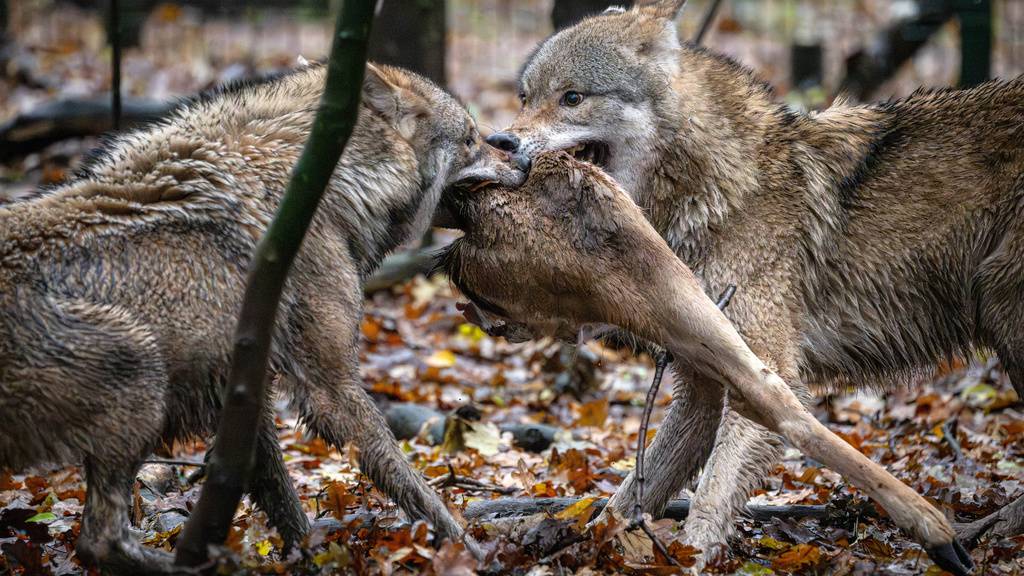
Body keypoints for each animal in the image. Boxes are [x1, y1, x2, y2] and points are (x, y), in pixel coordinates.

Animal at [0, 61, 524, 569]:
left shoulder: (241, 395)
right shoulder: (328, 387)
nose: (519, 154)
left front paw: (308, 561)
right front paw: (471, 552)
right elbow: (412, 484)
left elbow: (283, 503)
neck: (324, 185)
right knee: (97, 542)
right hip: (138, 367)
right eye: (472, 138)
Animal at [485, 0, 1024, 565]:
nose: (501, 140)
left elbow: (712, 491)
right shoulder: (700, 386)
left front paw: (692, 556)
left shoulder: (768, 373)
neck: (720, 191)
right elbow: (630, 494)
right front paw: (596, 544)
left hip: (1004, 312)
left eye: (572, 98)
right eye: (525, 98)